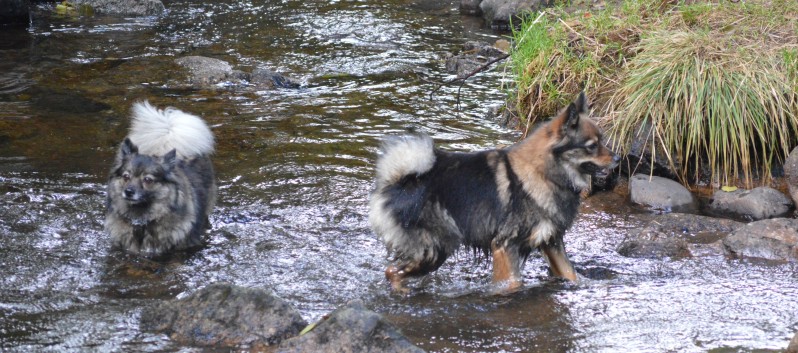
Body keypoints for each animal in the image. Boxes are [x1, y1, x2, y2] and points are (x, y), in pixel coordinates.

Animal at [368, 91, 620, 292]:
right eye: (591, 146)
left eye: (603, 140)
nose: (618, 158)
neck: (545, 172)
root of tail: (397, 181)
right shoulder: (504, 245)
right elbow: (513, 283)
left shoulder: (551, 241)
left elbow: (570, 273)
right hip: (436, 249)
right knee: (391, 271)